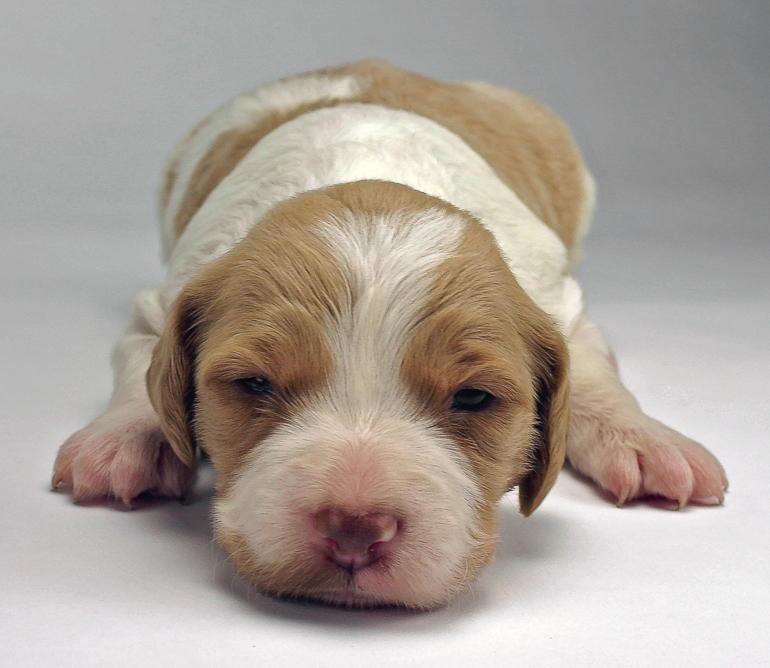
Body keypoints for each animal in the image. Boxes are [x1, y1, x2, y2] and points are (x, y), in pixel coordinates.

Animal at [54, 60, 728, 608]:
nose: (353, 531)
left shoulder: (562, 302)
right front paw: (120, 444)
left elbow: (591, 373)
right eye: (254, 384)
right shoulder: (164, 298)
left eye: (474, 398)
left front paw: (646, 441)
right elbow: (140, 362)